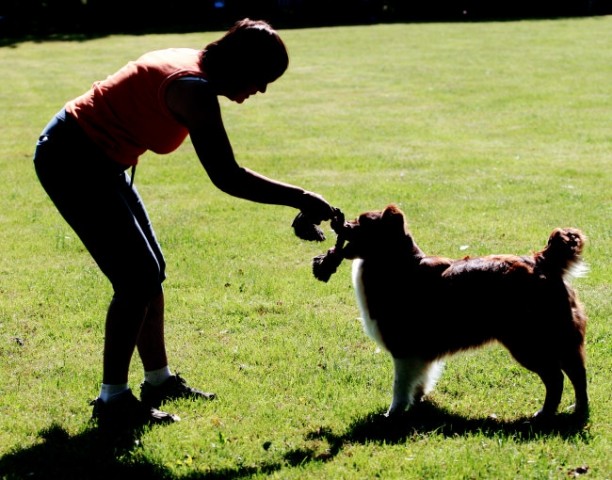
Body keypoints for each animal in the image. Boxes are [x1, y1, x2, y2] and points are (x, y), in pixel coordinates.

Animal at [314, 206, 592, 420]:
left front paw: (393, 413)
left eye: (361, 222)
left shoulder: (403, 348)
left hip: (530, 343)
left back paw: (546, 414)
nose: (336, 221)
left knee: (557, 377)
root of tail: (543, 261)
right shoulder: (420, 352)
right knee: (577, 374)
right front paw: (418, 401)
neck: (396, 262)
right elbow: (420, 378)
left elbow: (399, 385)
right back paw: (577, 410)